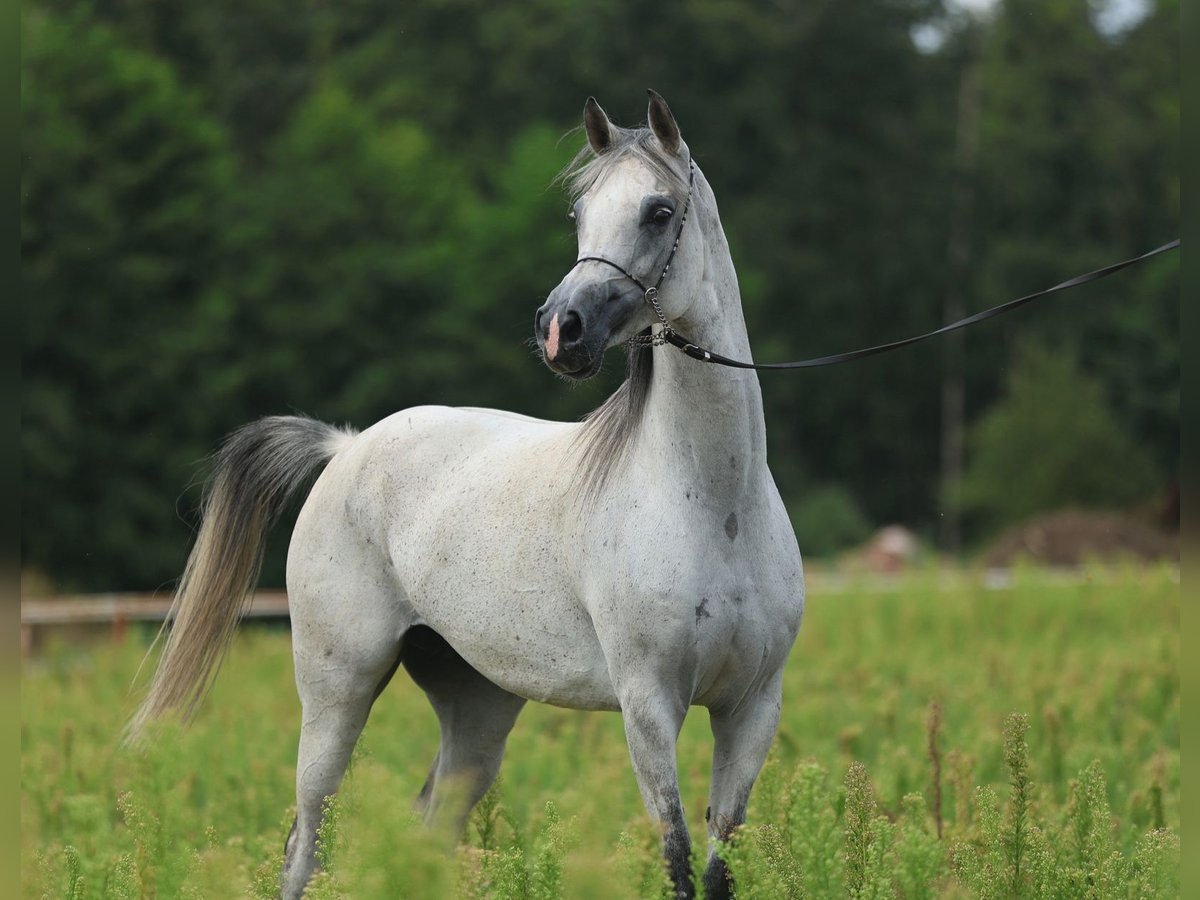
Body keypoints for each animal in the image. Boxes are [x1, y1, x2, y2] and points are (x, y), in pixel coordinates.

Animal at [131, 93, 806, 900]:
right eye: (580, 212)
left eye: (658, 210)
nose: (560, 330)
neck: (714, 506)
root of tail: (345, 447)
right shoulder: (650, 708)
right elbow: (675, 858)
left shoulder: (750, 711)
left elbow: (717, 867)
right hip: (337, 690)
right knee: (305, 841)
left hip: (477, 708)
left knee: (426, 828)